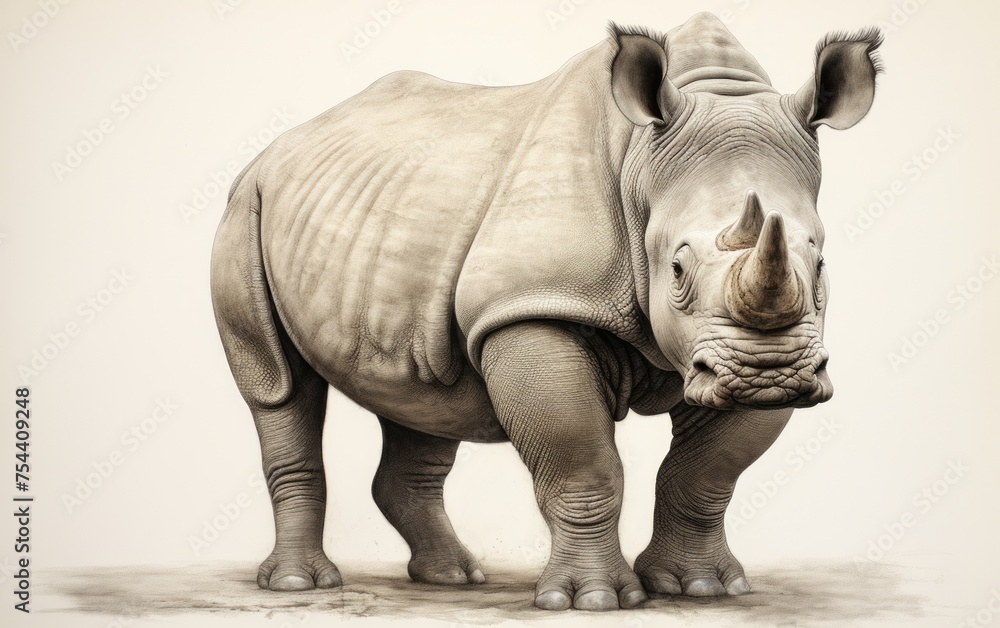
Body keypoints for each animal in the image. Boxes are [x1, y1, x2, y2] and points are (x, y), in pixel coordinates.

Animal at [211, 12, 881, 611]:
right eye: (677, 271)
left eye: (820, 264)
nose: (768, 374)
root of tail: (275, 150)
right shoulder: (532, 307)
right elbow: (583, 464)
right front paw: (592, 600)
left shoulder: (744, 351)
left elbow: (707, 473)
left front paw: (702, 589)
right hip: (245, 207)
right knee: (278, 386)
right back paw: (301, 585)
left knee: (424, 393)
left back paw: (454, 578)